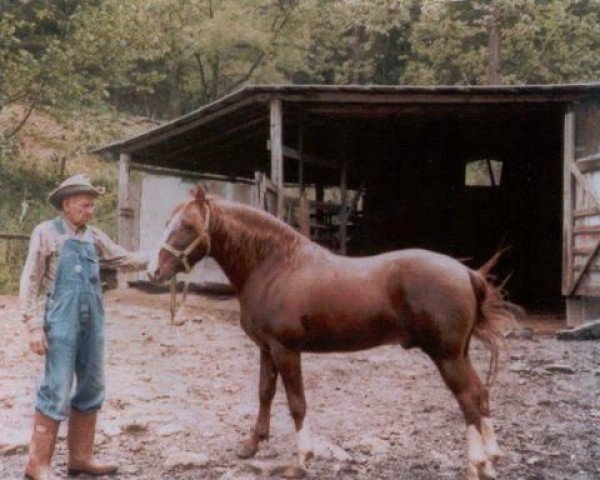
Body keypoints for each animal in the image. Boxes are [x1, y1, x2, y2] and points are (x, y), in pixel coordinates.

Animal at [146, 188, 516, 480]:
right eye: (166, 224)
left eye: (188, 226)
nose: (153, 271)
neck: (275, 266)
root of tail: (466, 272)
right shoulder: (266, 349)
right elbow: (265, 393)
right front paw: (251, 444)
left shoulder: (285, 350)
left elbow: (297, 403)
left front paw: (301, 461)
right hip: (459, 353)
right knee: (481, 394)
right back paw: (492, 460)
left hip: (446, 355)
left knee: (469, 398)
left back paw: (476, 464)